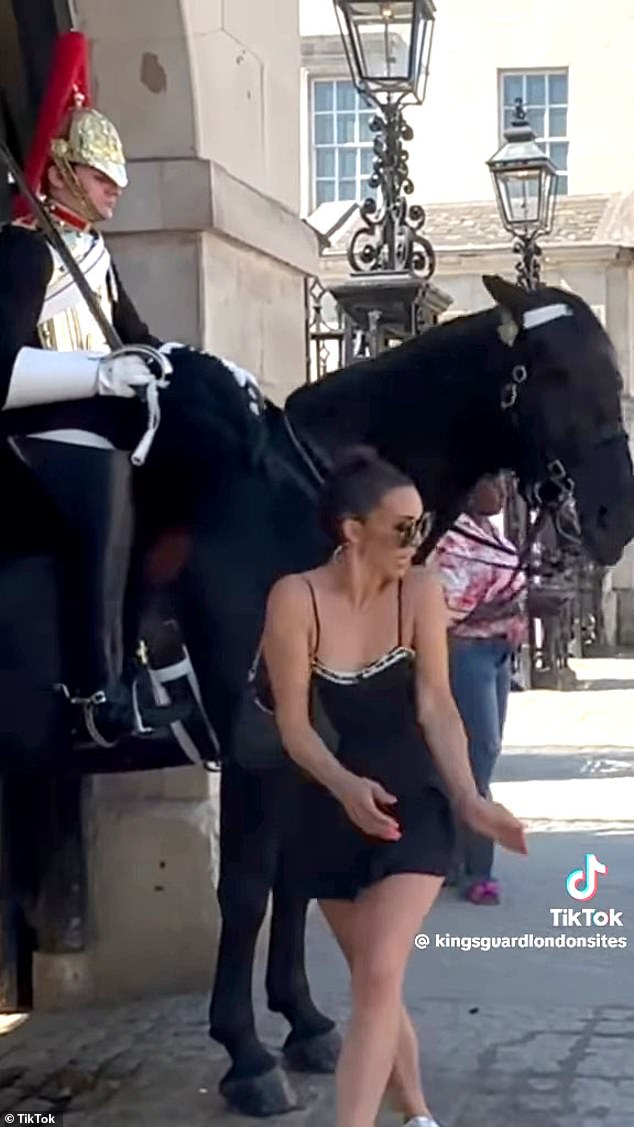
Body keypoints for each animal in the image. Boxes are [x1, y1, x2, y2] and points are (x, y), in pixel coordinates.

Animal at [0, 277, 630, 1113]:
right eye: (554, 373)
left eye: (615, 371)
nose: (616, 518)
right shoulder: (256, 745)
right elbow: (245, 889)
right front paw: (246, 1055)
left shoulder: (314, 746)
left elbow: (295, 881)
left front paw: (303, 1023)